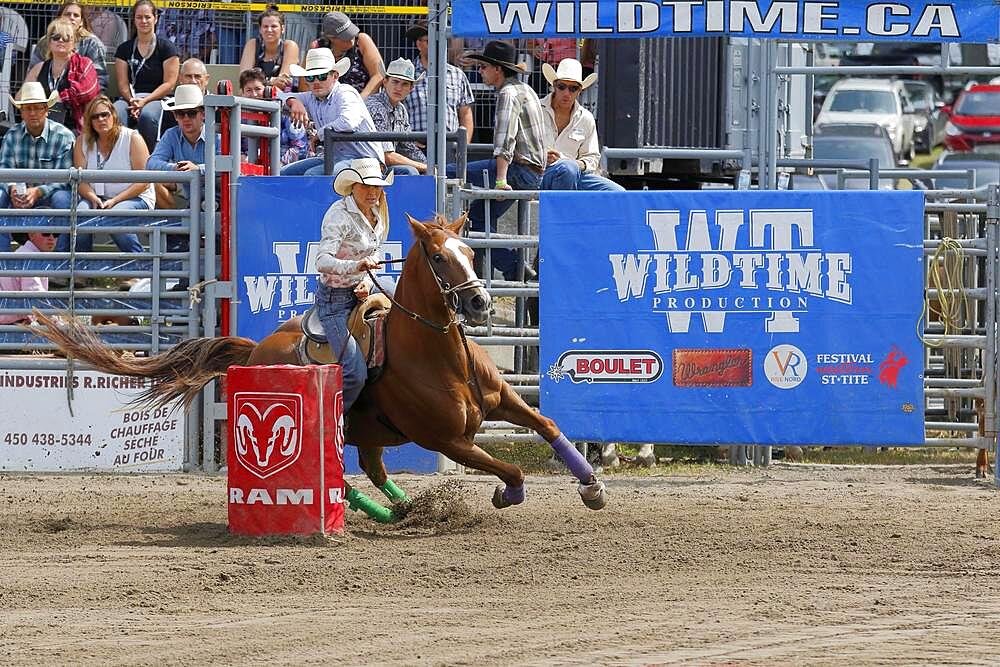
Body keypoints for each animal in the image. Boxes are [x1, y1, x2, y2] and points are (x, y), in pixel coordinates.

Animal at [33, 214, 608, 520]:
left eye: (469, 249)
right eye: (440, 257)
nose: (481, 303)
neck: (438, 355)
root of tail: (254, 350)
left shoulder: (503, 400)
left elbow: (549, 425)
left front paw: (592, 486)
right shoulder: (448, 440)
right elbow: (510, 467)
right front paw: (507, 493)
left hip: (369, 434)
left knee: (372, 470)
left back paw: (400, 510)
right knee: (347, 475)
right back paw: (391, 511)